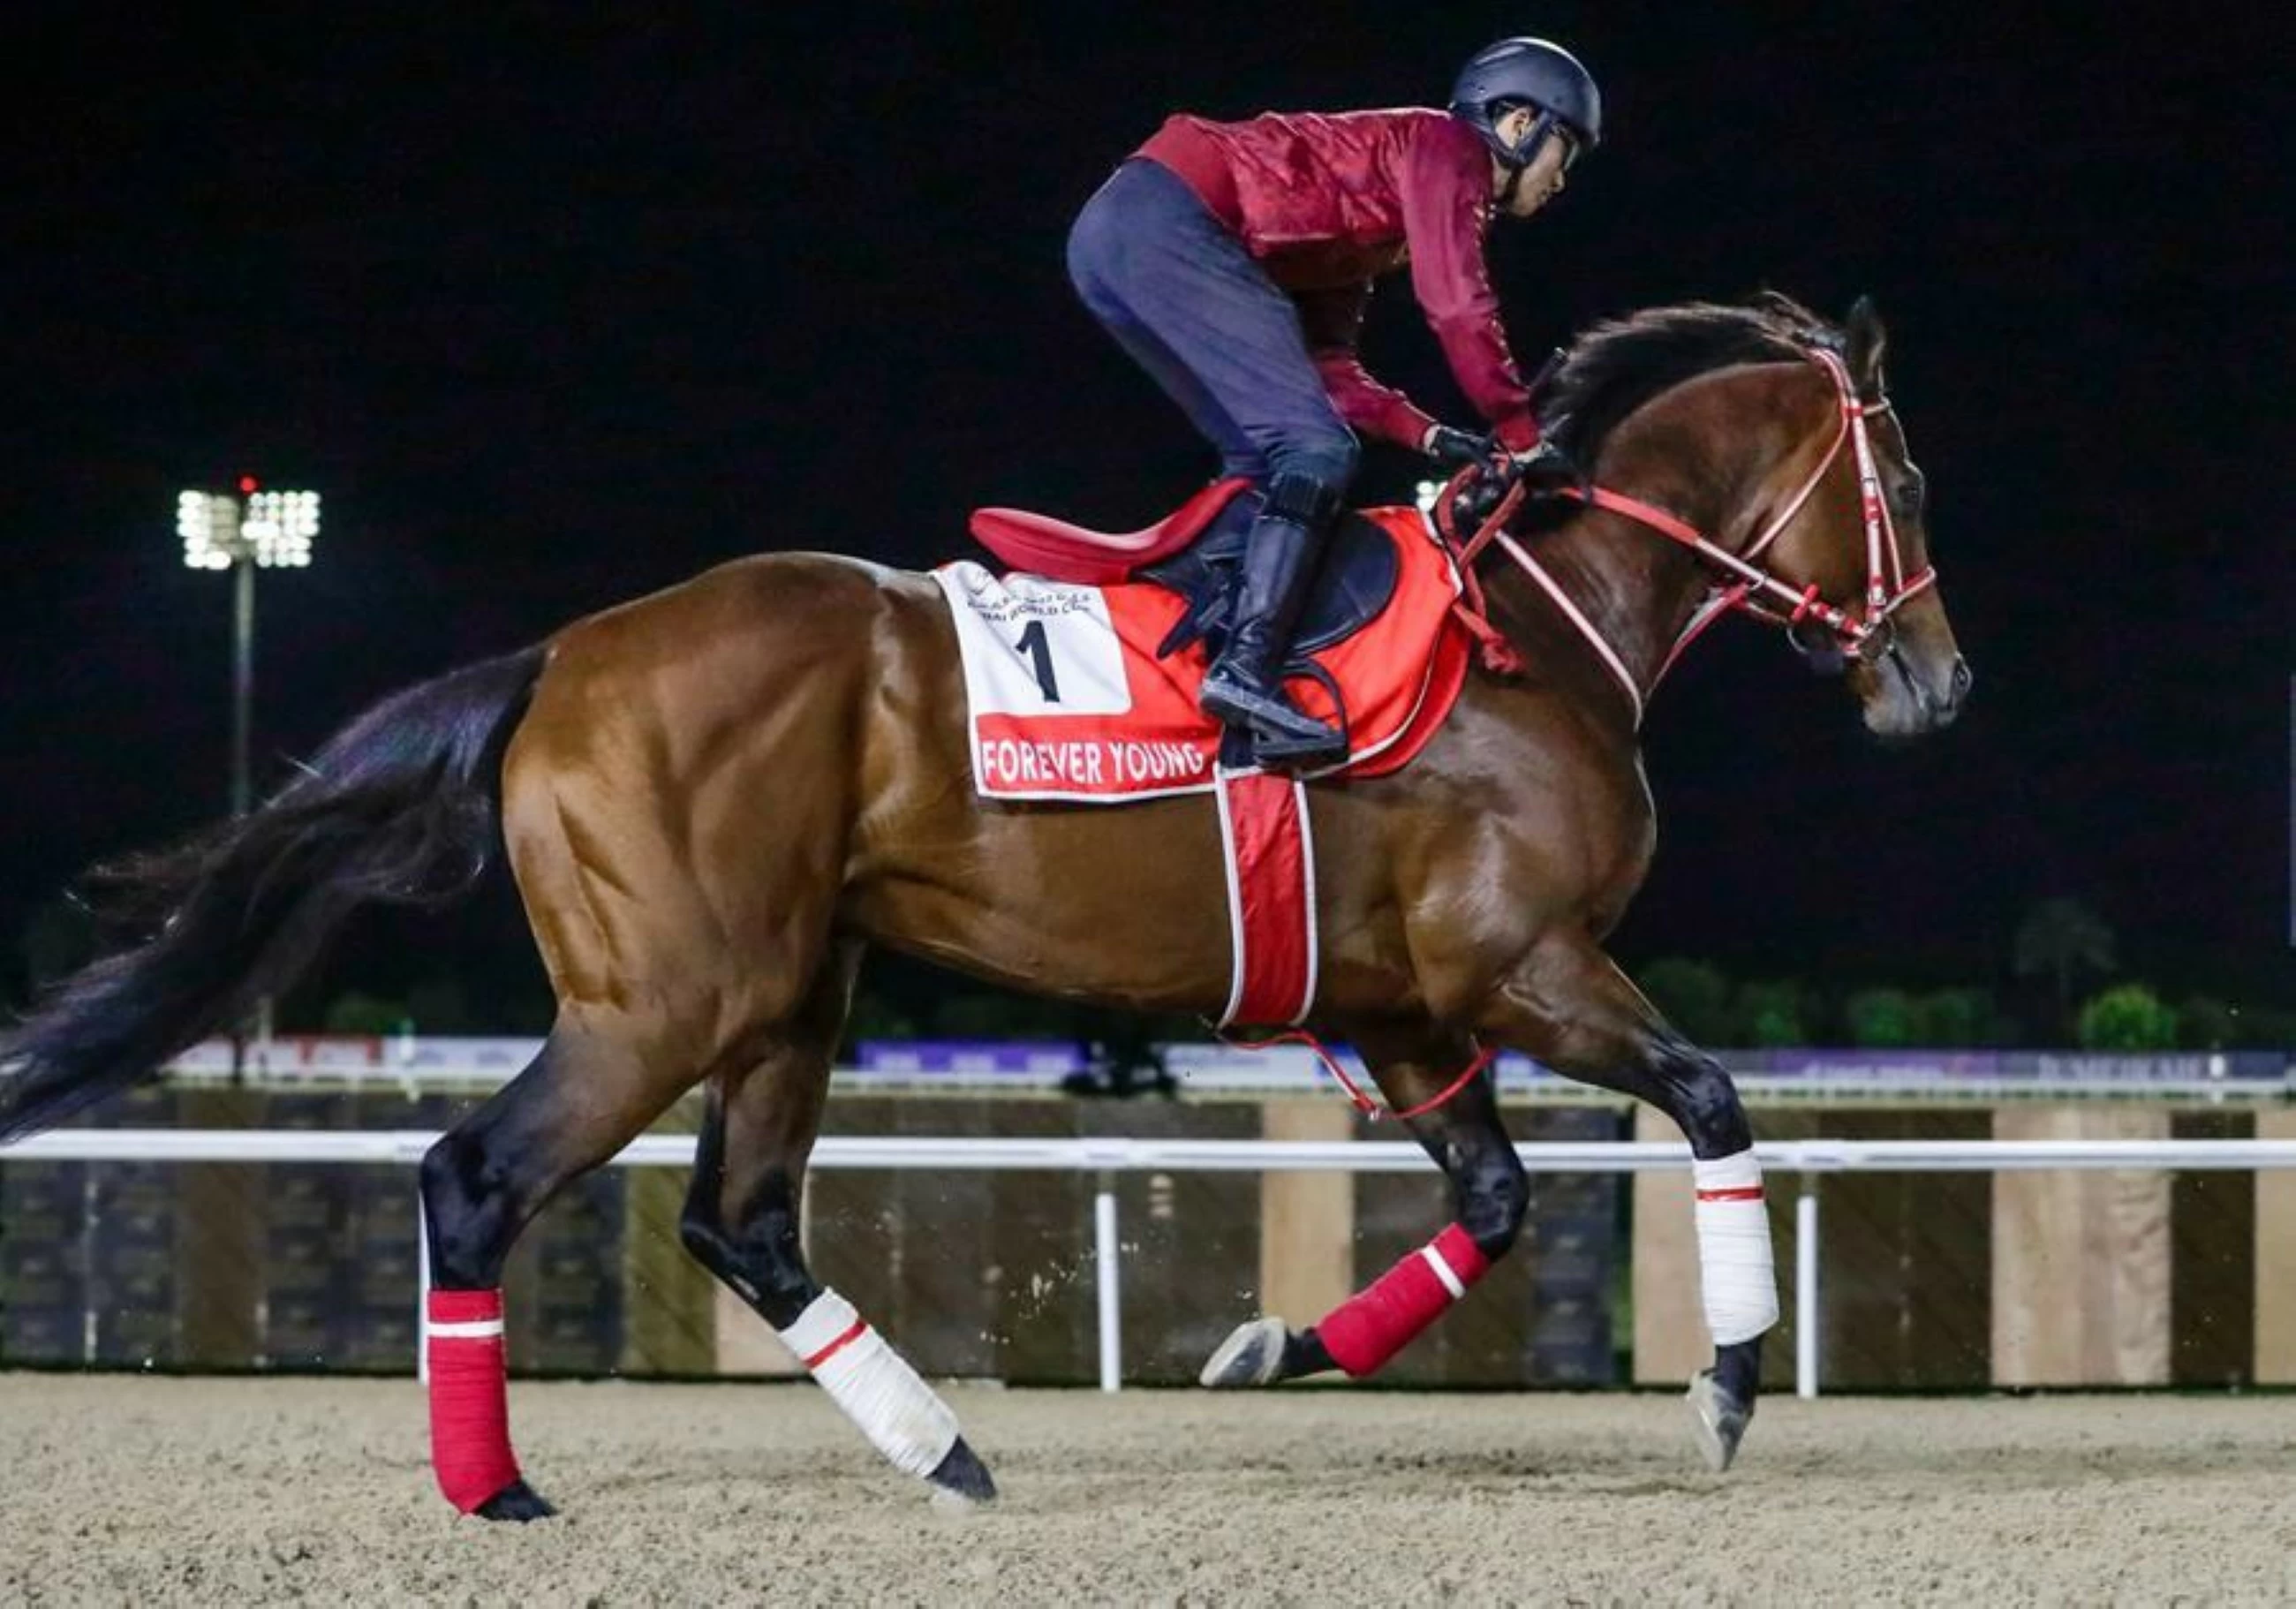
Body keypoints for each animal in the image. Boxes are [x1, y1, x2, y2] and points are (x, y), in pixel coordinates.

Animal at [0, 292, 1968, 1521]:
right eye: (1906, 481)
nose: (1935, 682)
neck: (1544, 624)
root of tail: (560, 658)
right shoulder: (1524, 964)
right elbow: (1706, 1100)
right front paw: (1726, 1379)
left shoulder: (1402, 1004)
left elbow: (1488, 1203)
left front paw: (1271, 1343)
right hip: (663, 997)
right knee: (481, 1177)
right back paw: (497, 1487)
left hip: (794, 989)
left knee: (743, 1221)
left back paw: (940, 1447)